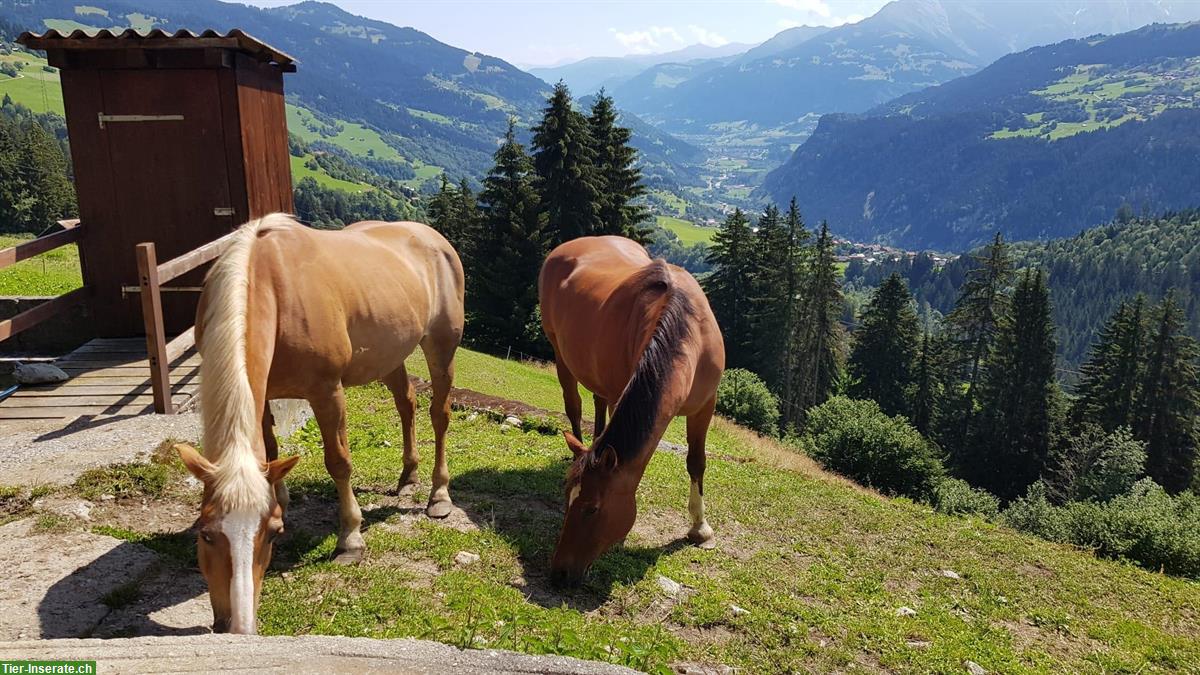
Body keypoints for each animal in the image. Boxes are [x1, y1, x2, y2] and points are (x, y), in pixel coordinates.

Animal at [174, 213, 463, 629]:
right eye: (205, 533)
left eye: (272, 534)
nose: (237, 627)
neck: (273, 284)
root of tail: (432, 237)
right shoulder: (265, 393)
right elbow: (271, 449)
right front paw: (281, 496)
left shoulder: (327, 392)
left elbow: (339, 462)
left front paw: (351, 539)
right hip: (390, 354)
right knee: (406, 404)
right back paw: (408, 476)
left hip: (441, 347)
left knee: (439, 416)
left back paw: (438, 495)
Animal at [542, 234, 724, 581]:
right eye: (567, 500)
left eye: (592, 509)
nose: (559, 572)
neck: (689, 331)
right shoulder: (621, 394)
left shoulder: (705, 407)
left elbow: (696, 462)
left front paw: (700, 528)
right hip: (561, 354)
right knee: (574, 407)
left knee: (597, 405)